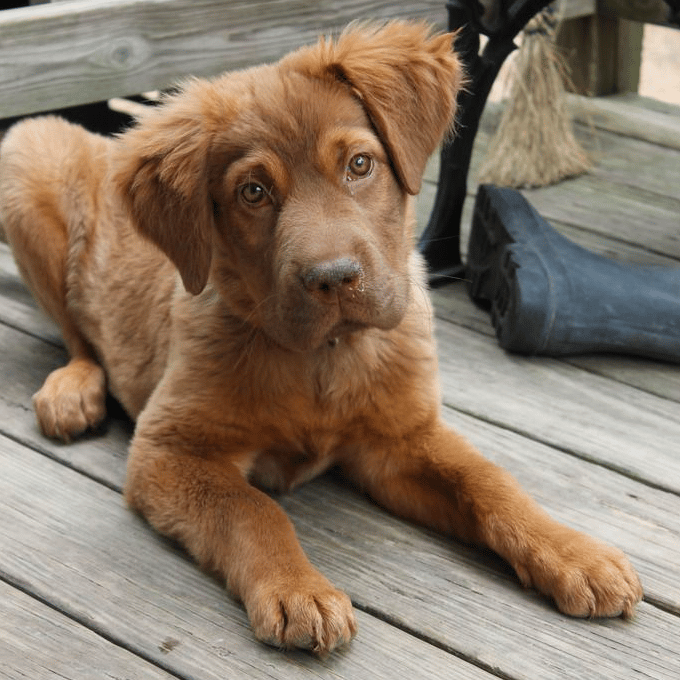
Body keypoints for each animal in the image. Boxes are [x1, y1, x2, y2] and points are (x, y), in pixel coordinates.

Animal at [0, 23, 640, 656]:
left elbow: (488, 480)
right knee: (78, 337)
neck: (324, 358)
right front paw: (297, 588)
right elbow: (251, 508)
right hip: (26, 160)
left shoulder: (399, 441)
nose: (334, 278)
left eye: (359, 164)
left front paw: (571, 552)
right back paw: (72, 391)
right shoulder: (169, 448)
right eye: (253, 192)